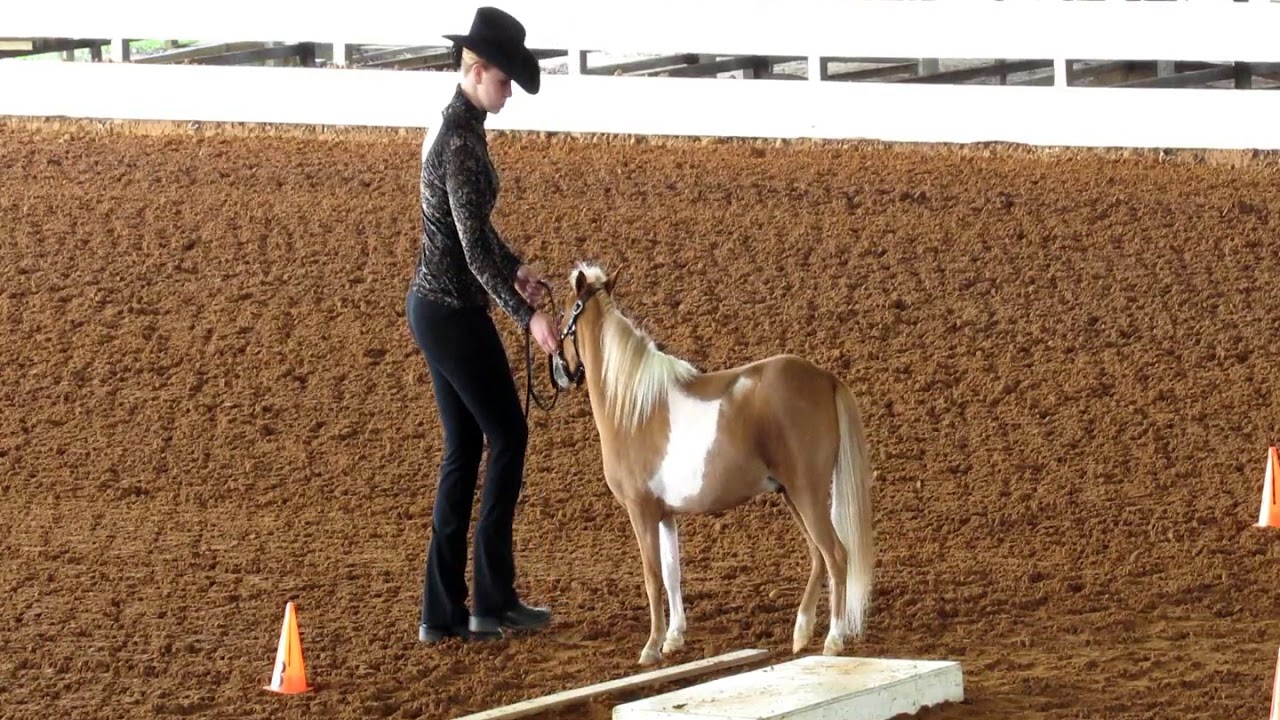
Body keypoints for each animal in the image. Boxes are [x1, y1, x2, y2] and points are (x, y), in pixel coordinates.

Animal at [548, 262, 876, 666]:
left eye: (563, 315)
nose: (559, 373)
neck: (632, 407)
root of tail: (825, 377)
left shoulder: (641, 511)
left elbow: (652, 576)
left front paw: (651, 647)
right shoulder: (664, 514)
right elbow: (672, 573)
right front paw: (673, 638)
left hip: (807, 492)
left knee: (836, 555)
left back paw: (833, 639)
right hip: (791, 494)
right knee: (818, 555)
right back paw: (801, 633)